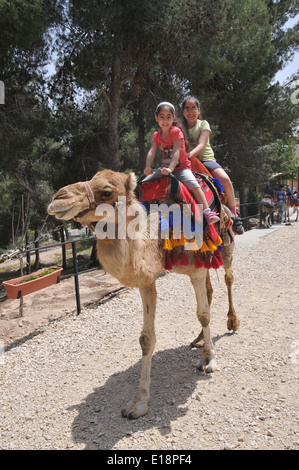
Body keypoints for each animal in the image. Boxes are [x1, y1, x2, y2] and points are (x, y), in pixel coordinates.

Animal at [48, 169, 240, 418]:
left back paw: (232, 323)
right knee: (209, 290)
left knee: (228, 277)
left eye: (107, 191)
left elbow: (203, 315)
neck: (159, 235)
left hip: (226, 246)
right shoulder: (147, 280)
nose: (58, 197)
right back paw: (198, 339)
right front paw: (138, 403)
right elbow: (146, 339)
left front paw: (209, 360)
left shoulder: (195, 268)